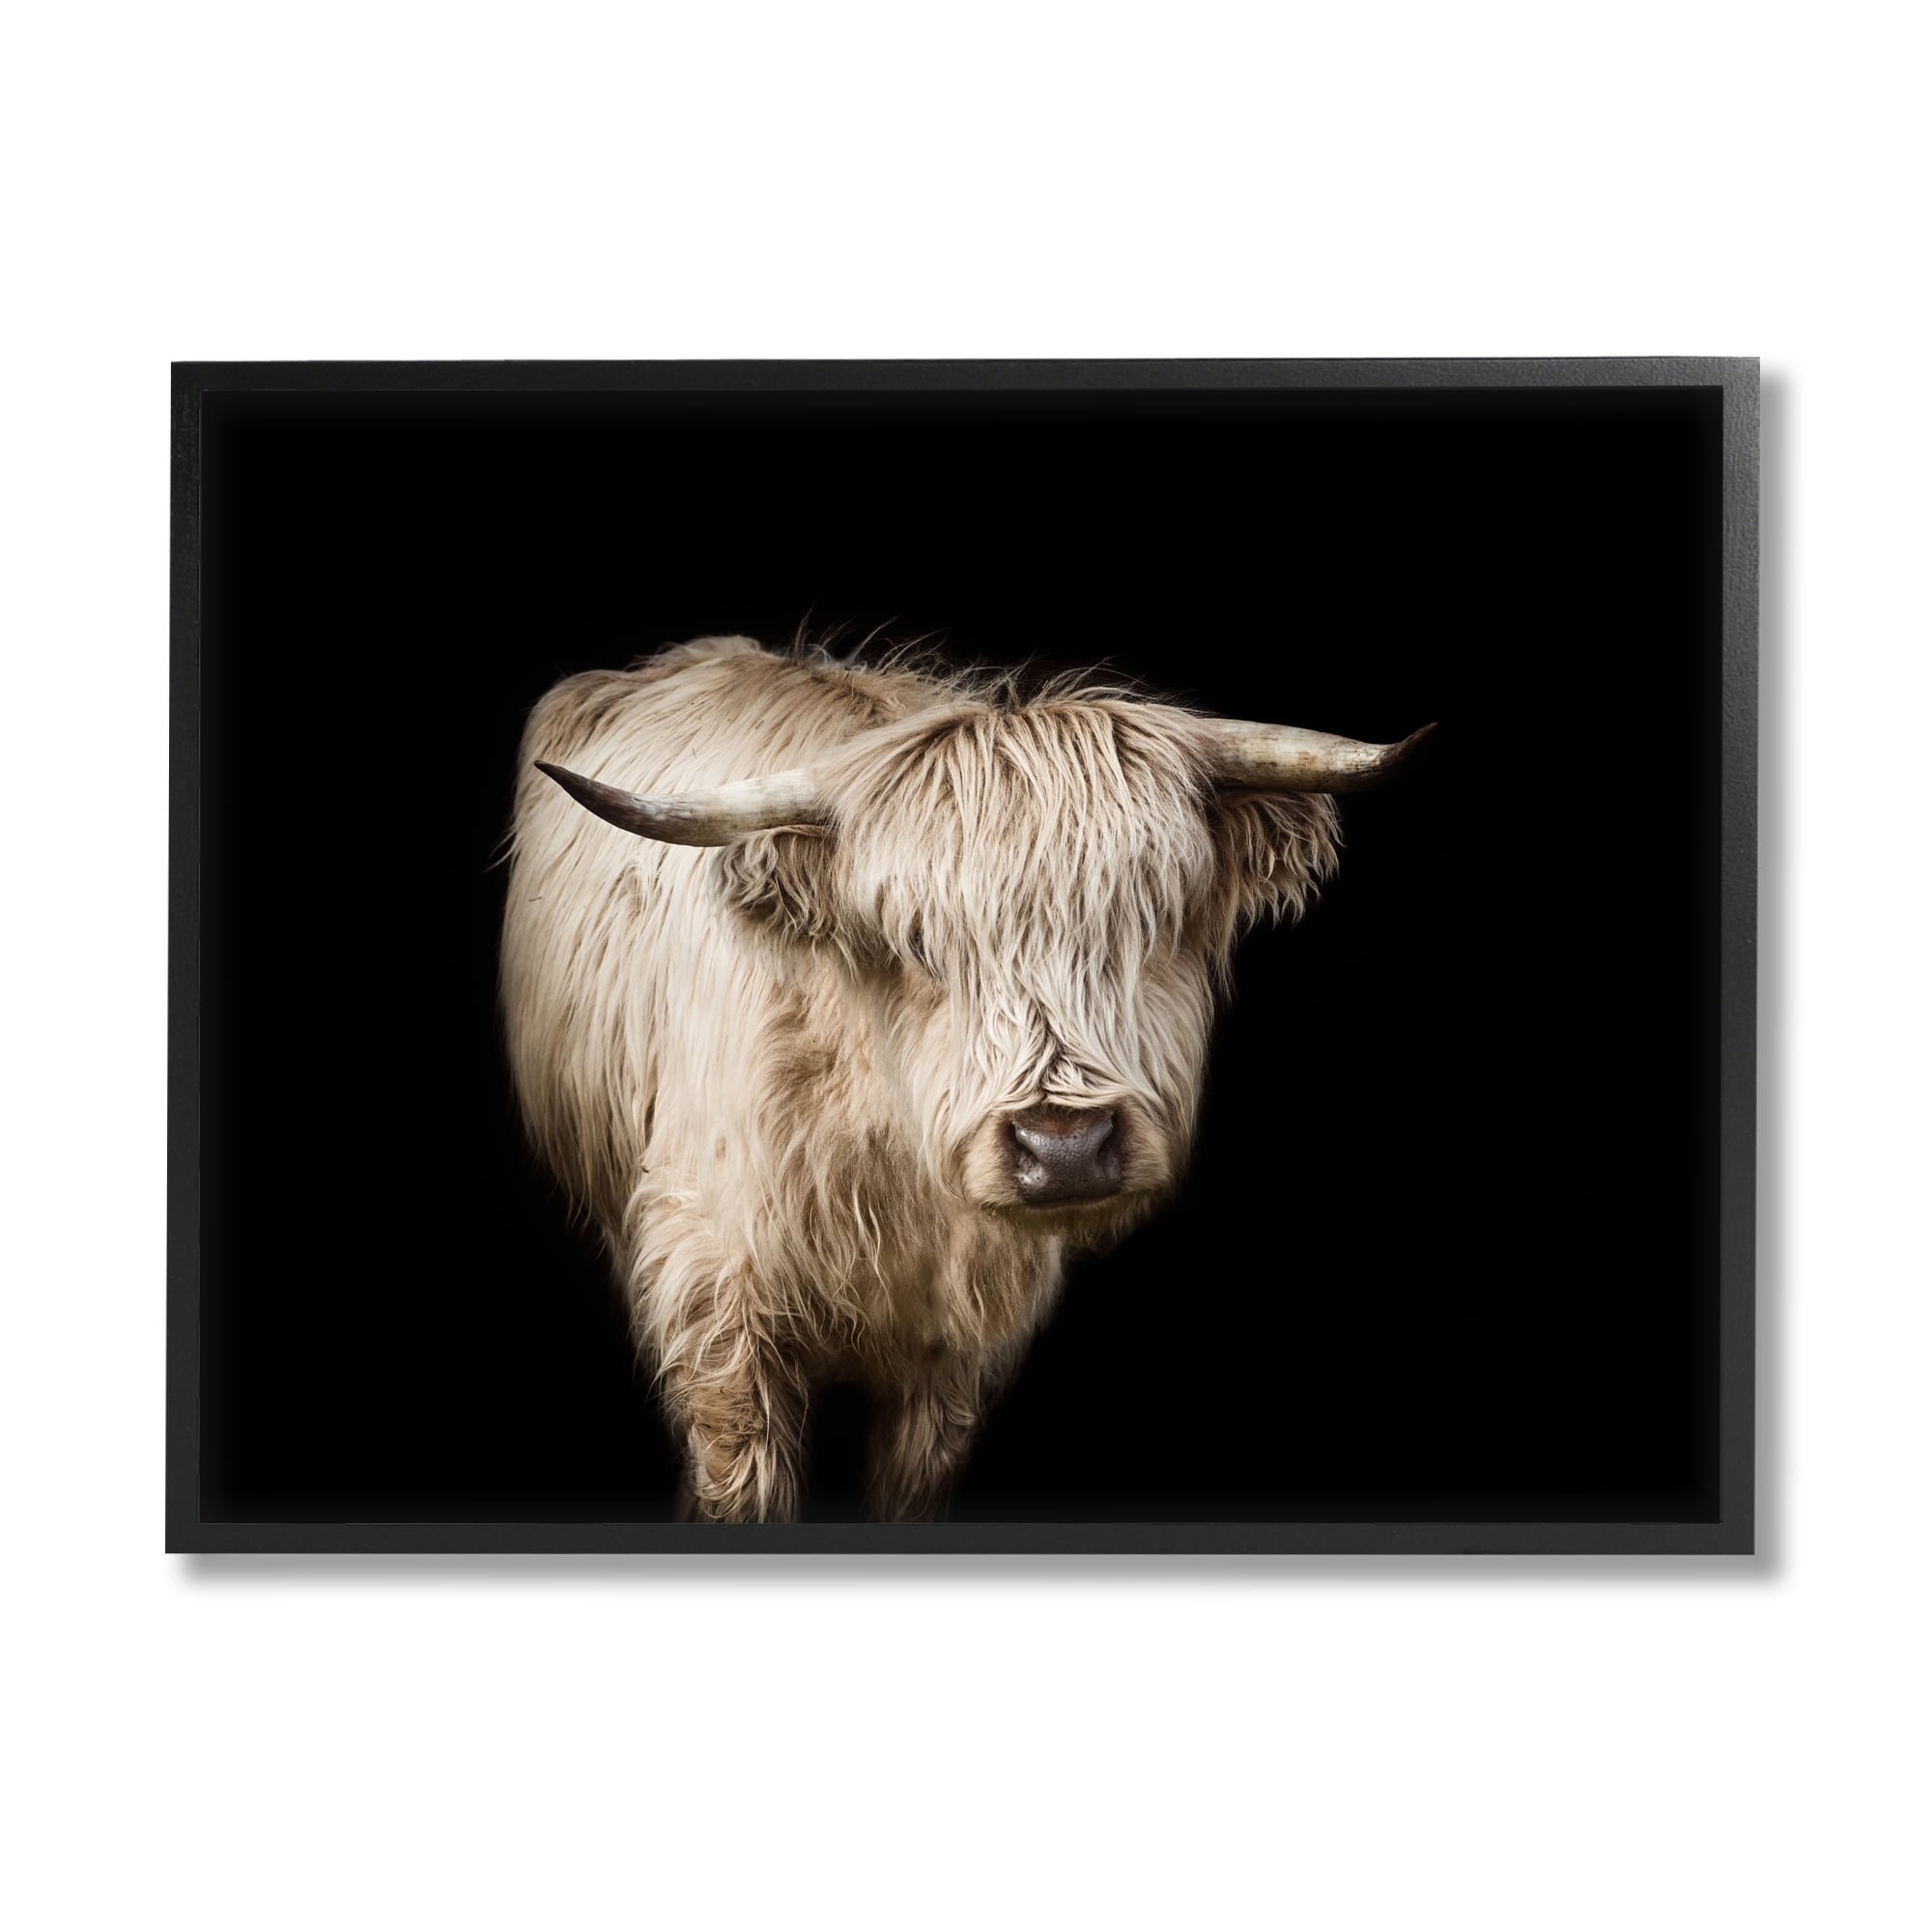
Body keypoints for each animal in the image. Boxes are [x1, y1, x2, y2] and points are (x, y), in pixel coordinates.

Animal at [501, 634, 1429, 1521]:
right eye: (915, 940)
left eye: (1155, 918)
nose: (1063, 1148)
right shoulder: (715, 1298)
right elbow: (742, 1481)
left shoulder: (958, 1353)